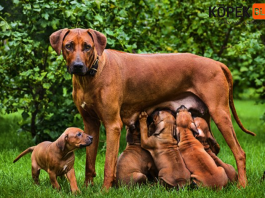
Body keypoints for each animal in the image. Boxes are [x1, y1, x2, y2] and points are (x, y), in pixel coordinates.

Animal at [49, 27, 254, 189]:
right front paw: (87, 188)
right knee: (214, 148)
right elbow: (89, 164)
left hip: (220, 114)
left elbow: (108, 165)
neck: (91, 75)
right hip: (203, 118)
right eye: (69, 45)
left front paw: (105, 190)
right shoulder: (90, 125)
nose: (77, 66)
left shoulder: (113, 125)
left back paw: (242, 186)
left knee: (240, 153)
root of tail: (216, 63)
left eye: (87, 46)